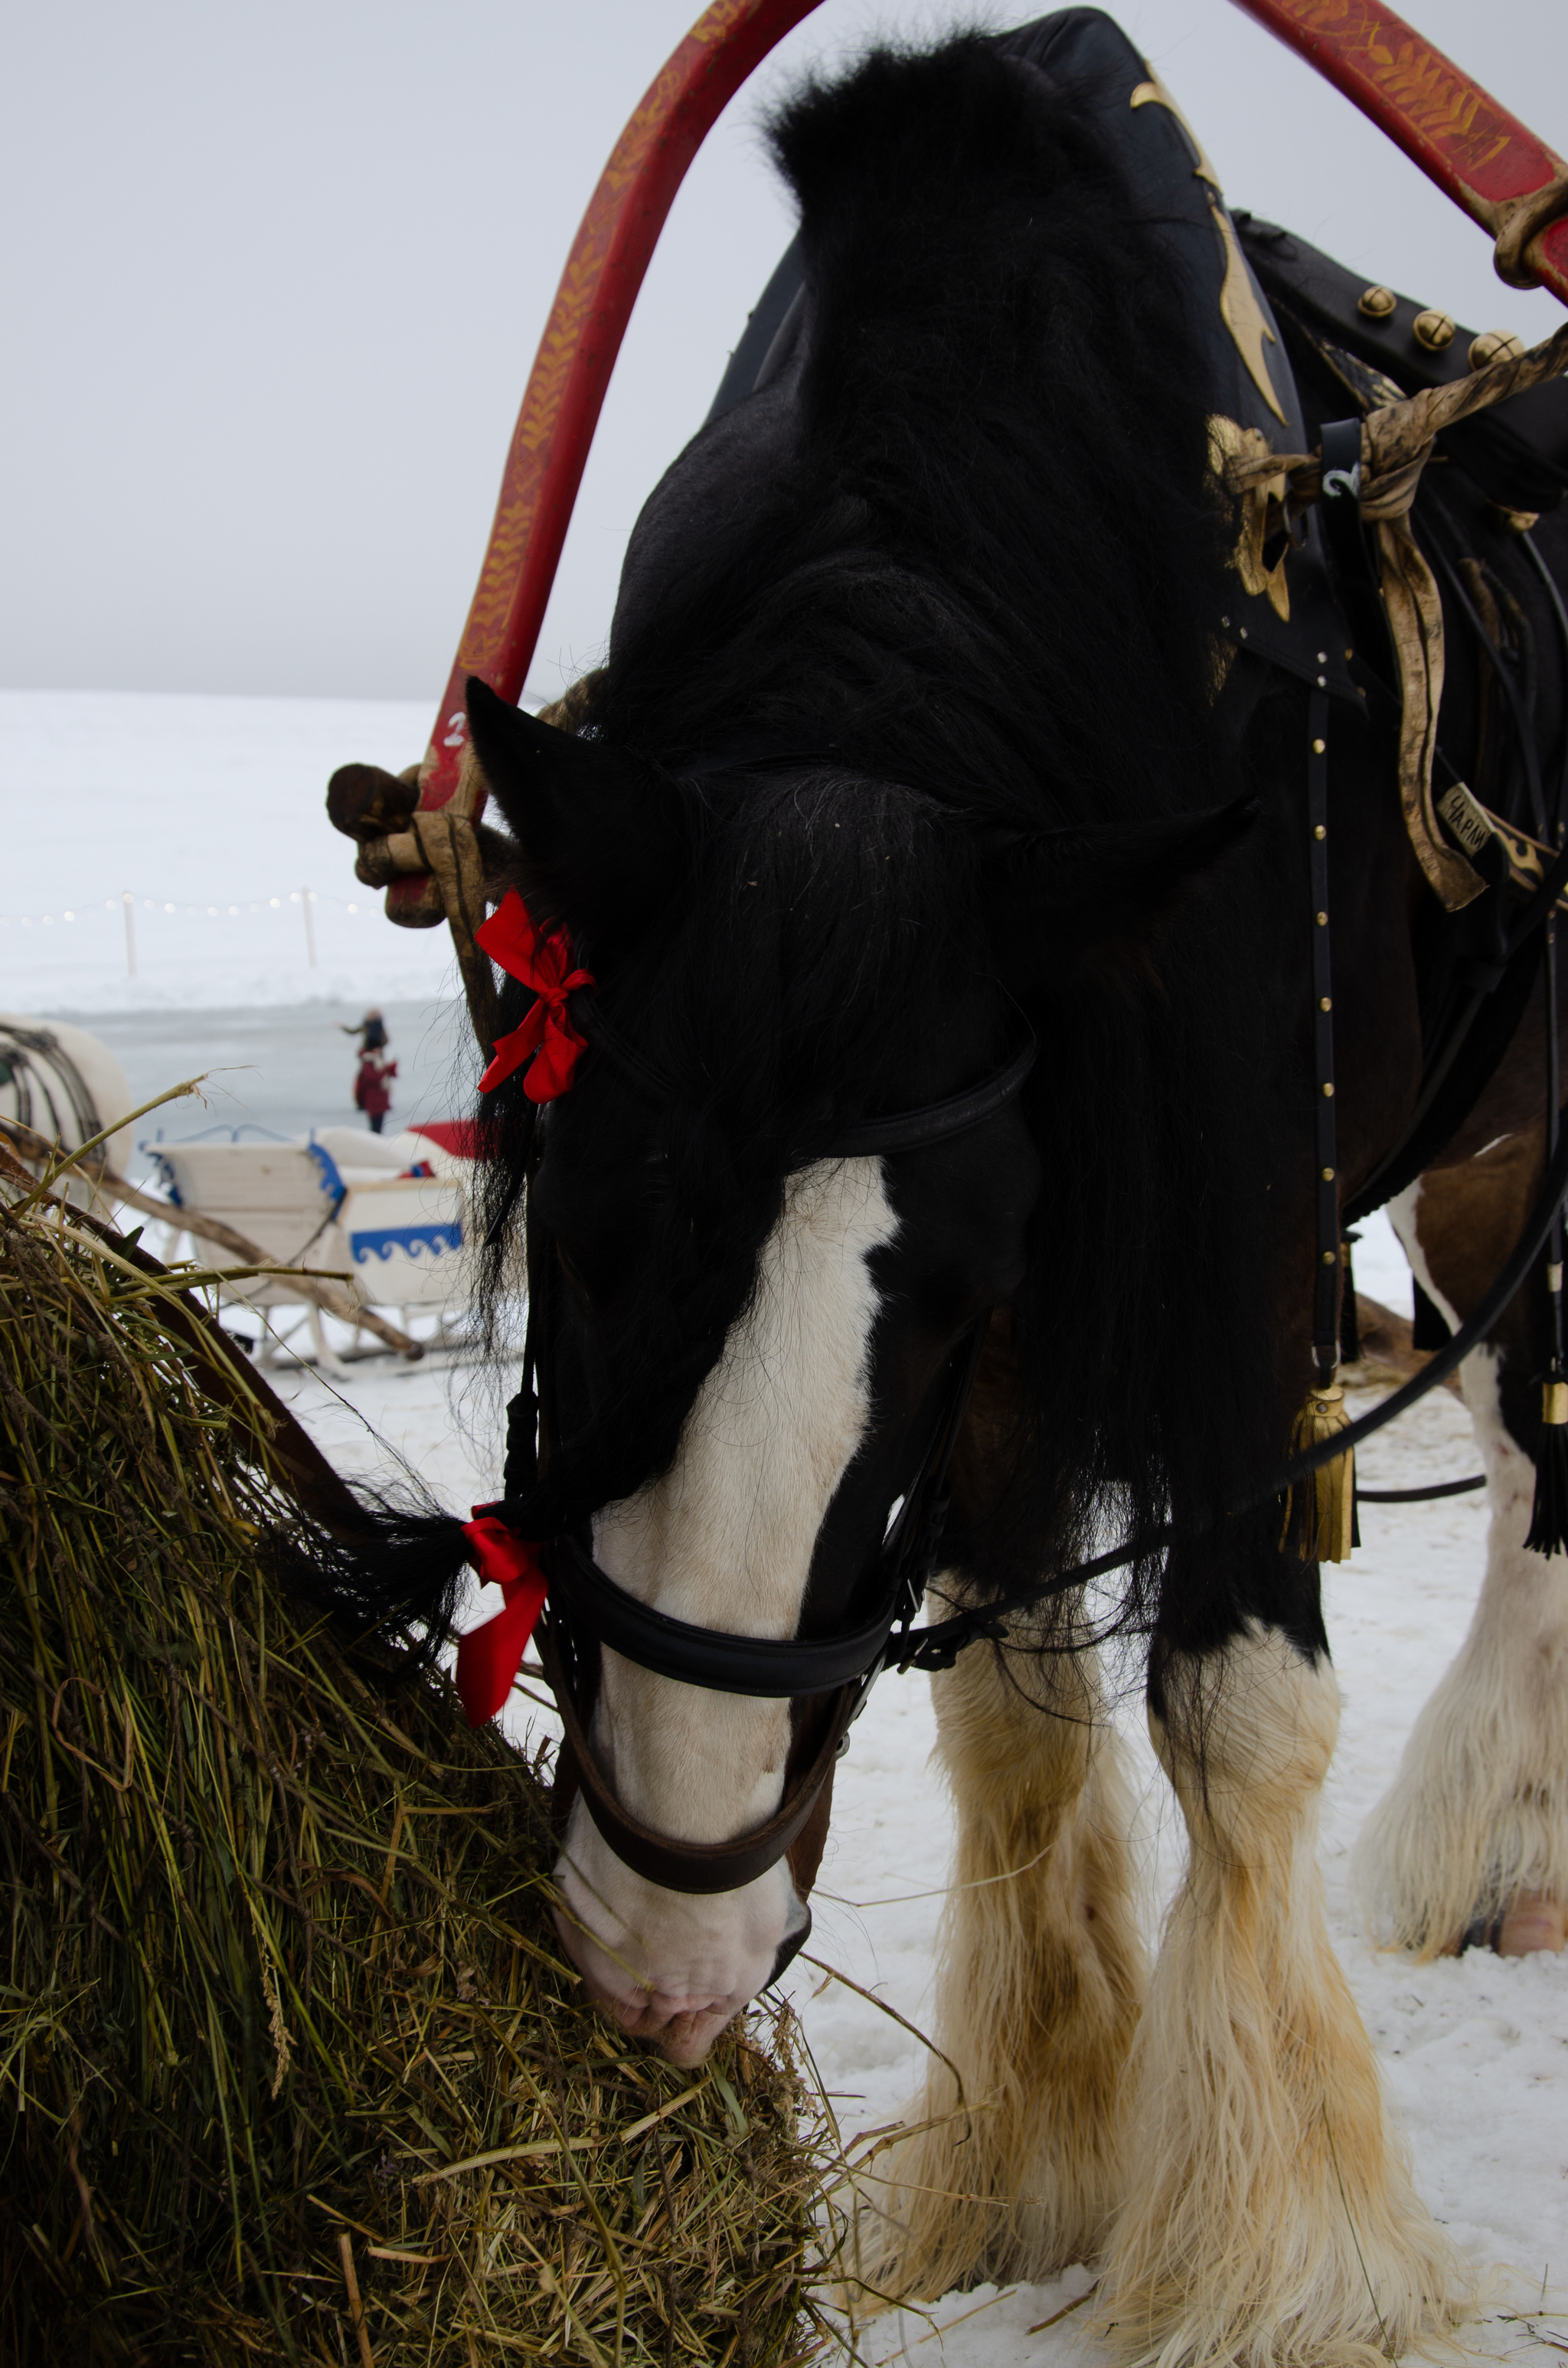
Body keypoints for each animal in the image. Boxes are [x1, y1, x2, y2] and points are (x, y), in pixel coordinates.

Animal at [332, 23, 1568, 2368]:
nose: (663, 1954)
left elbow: (1237, 1709)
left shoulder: (1232, 1233)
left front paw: (1285, 2247)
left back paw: (1503, 1844)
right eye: (593, 1230)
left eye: (950, 1280)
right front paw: (1025, 2159)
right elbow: (1012, 1720)